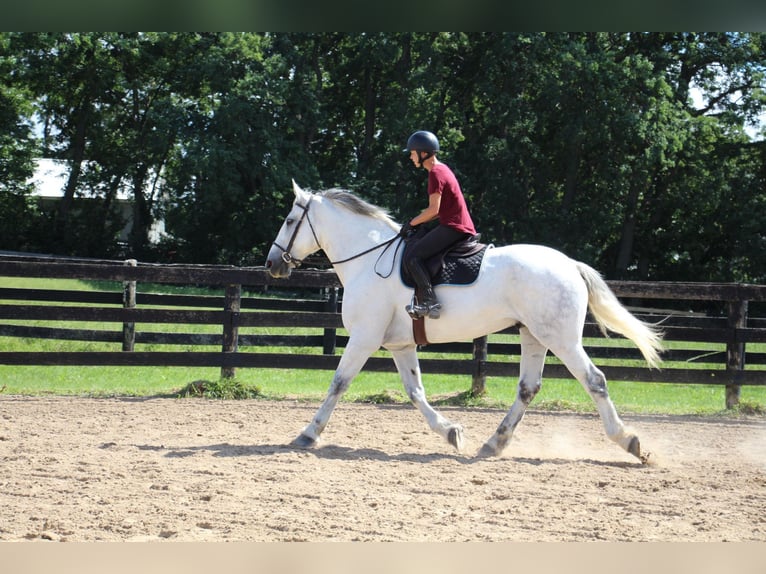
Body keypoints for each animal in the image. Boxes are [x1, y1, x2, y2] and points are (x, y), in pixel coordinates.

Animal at [268, 182, 664, 462]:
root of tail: (570, 265)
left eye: (289, 221)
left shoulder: (364, 338)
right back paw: (494, 443)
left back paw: (629, 441)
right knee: (527, 388)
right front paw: (450, 432)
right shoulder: (400, 344)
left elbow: (338, 383)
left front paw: (308, 434)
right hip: (534, 336)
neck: (368, 260)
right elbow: (415, 392)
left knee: (594, 381)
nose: (273, 264)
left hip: (562, 340)